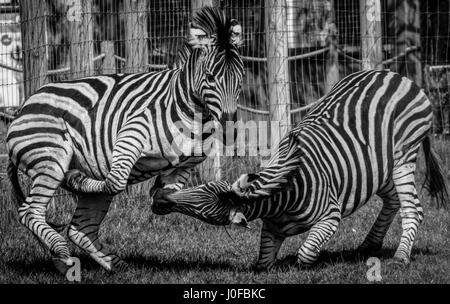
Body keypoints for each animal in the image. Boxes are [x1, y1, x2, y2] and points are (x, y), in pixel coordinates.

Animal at [5, 7, 244, 274]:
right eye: (210, 77)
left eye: (240, 76)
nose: (230, 129)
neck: (190, 112)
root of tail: (25, 105)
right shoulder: (131, 136)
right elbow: (117, 183)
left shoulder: (181, 169)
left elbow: (163, 200)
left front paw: (221, 206)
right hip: (50, 158)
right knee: (30, 212)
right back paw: (61, 247)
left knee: (80, 230)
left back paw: (109, 264)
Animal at [152, 69, 450, 270]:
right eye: (202, 186)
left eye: (204, 209)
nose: (157, 197)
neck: (282, 198)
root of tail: (397, 75)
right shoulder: (271, 231)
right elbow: (262, 264)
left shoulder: (331, 215)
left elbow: (304, 255)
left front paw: (305, 262)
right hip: (377, 166)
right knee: (393, 199)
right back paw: (367, 246)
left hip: (403, 157)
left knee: (413, 208)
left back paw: (400, 257)